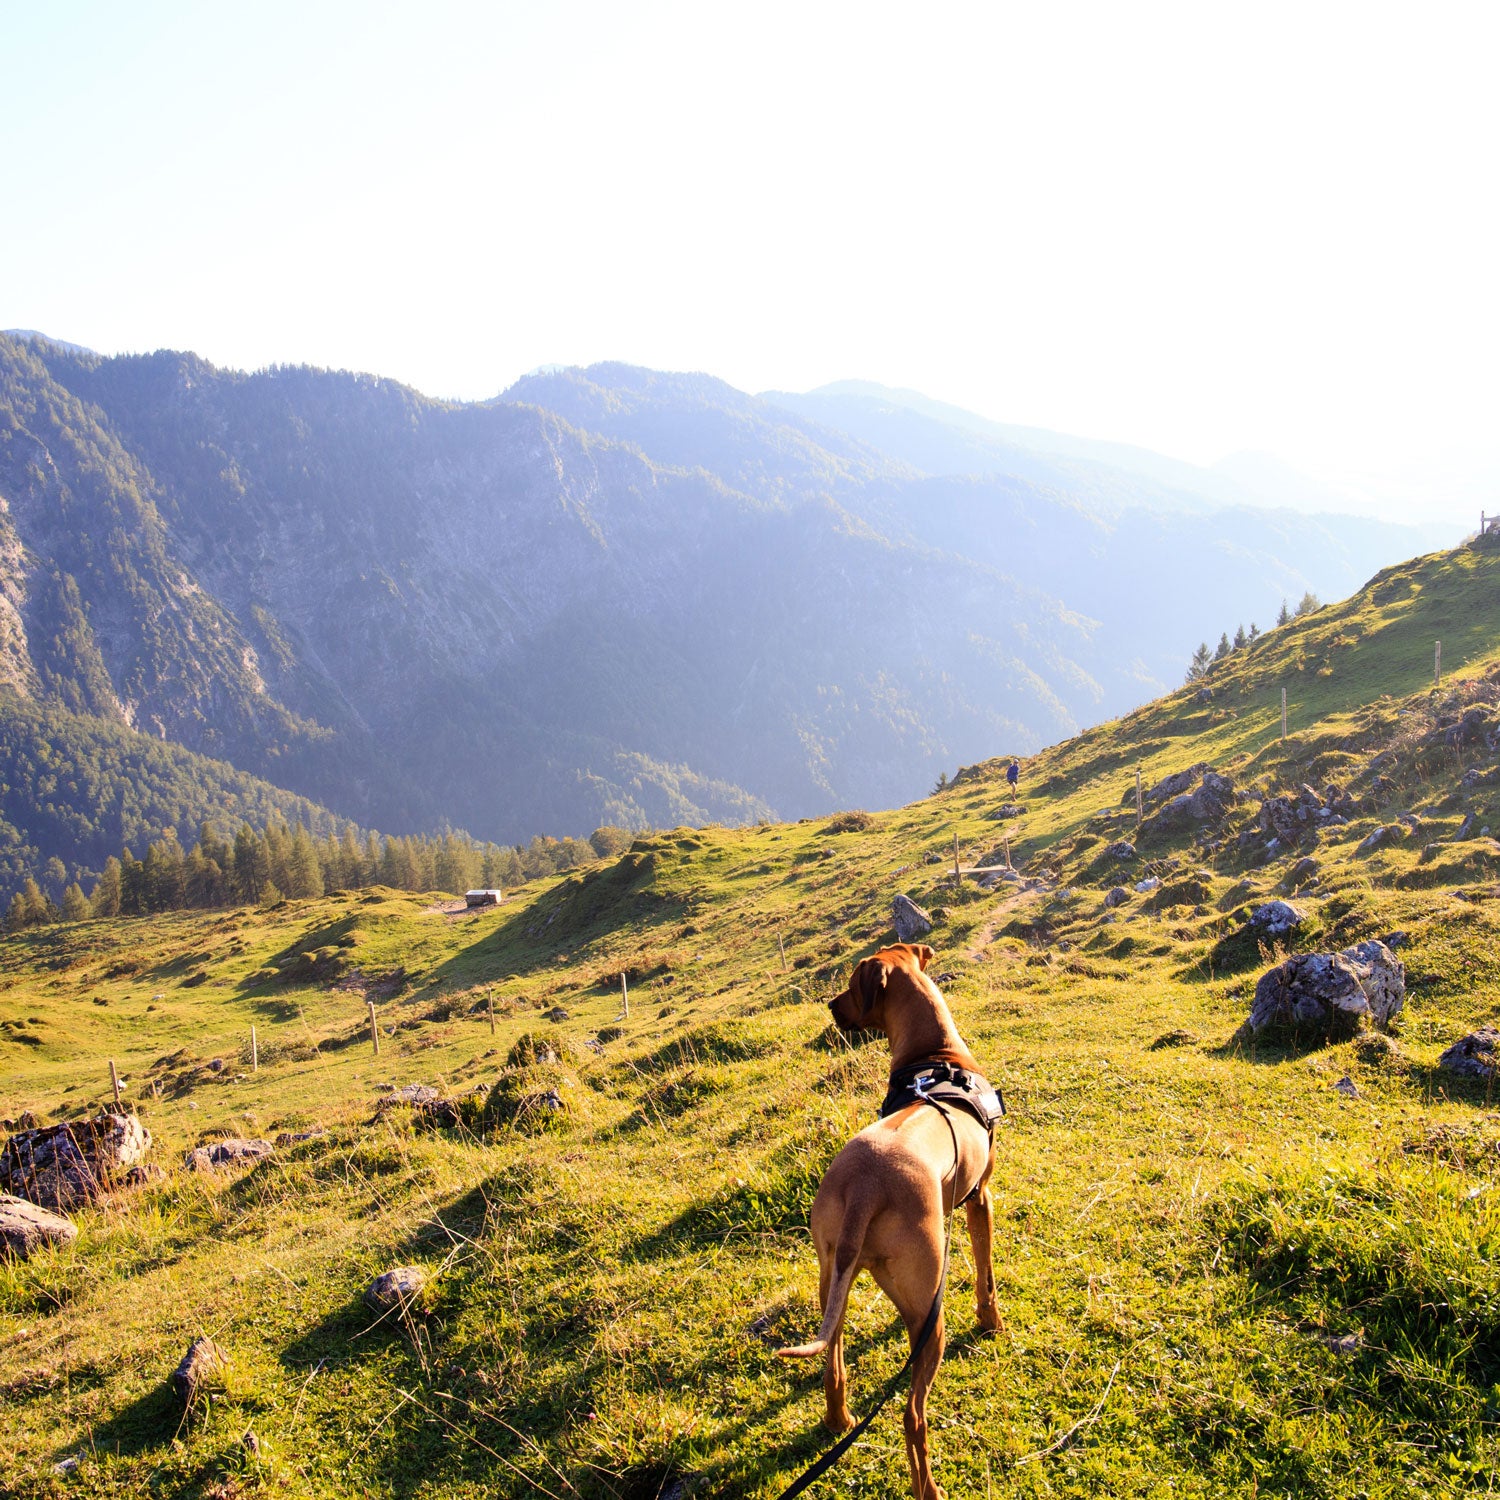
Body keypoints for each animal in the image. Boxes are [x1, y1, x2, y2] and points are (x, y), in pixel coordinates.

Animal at [780, 942, 1002, 1500]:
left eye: (849, 986)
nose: (829, 1006)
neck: (936, 1057)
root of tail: (865, 1187)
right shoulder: (980, 1197)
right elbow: (987, 1276)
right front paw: (991, 1322)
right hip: (930, 1308)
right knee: (912, 1416)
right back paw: (929, 1488)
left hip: (833, 1277)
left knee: (833, 1364)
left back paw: (837, 1421)